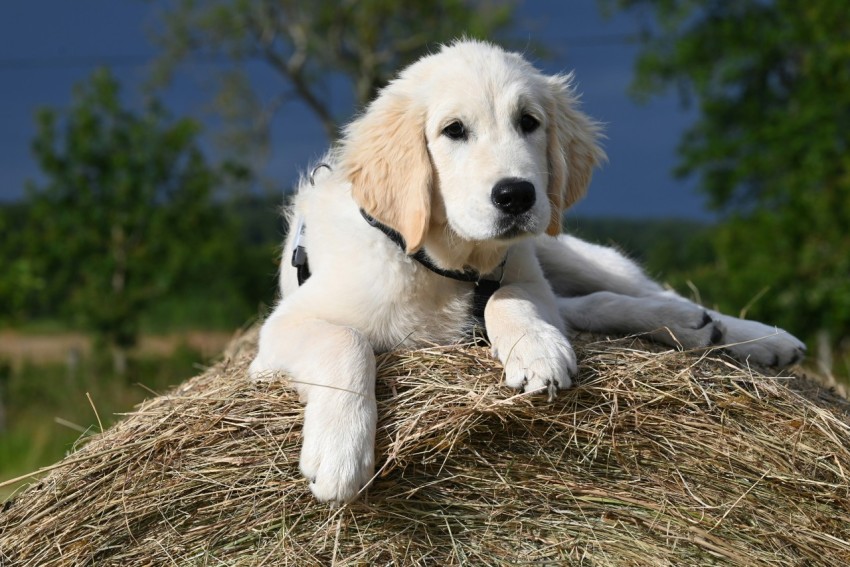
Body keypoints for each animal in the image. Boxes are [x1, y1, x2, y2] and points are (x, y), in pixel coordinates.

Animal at [248, 38, 804, 502]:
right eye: (453, 130)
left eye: (529, 122)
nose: (516, 195)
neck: (447, 267)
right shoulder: (280, 329)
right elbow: (344, 341)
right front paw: (340, 452)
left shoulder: (520, 272)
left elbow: (505, 296)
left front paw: (535, 351)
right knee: (588, 306)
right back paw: (693, 327)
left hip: (571, 254)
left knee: (621, 294)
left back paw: (746, 335)